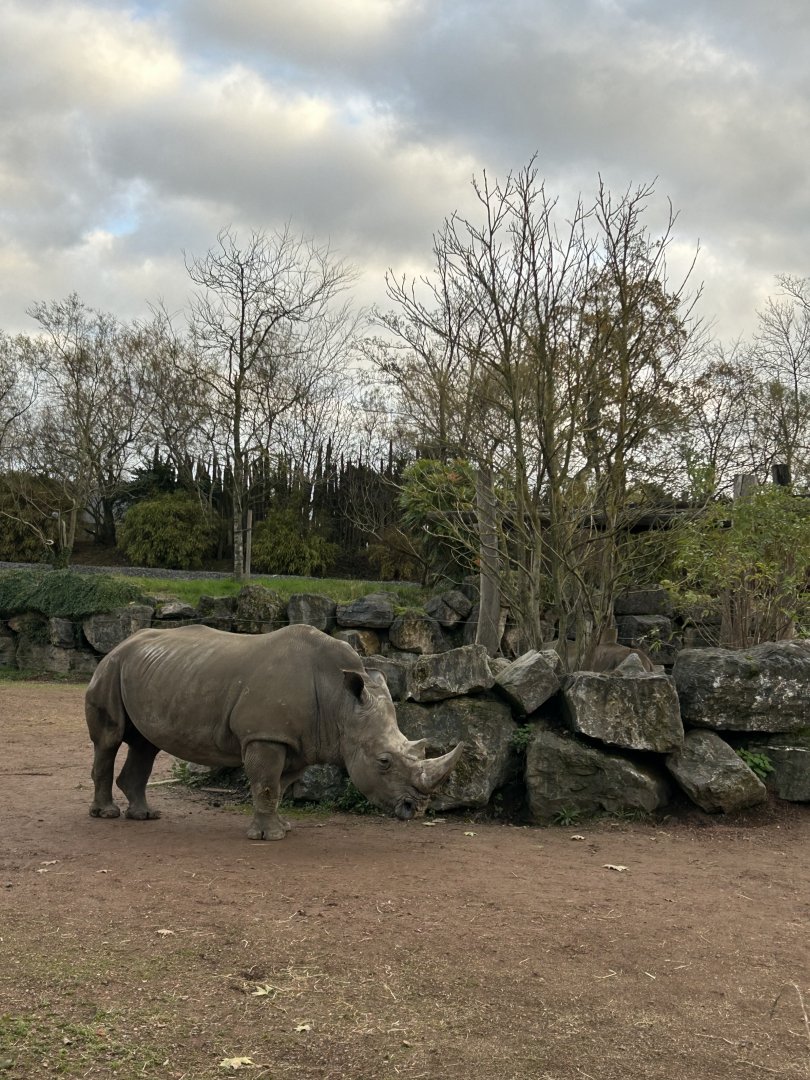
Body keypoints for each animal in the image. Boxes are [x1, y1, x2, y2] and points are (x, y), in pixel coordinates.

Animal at [85, 623, 463, 840]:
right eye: (384, 761)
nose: (417, 810)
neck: (340, 703)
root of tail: (122, 642)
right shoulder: (265, 735)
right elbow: (265, 783)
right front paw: (269, 837)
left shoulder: (298, 741)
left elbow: (278, 786)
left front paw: (283, 828)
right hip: (110, 668)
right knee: (109, 740)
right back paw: (106, 814)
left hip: (149, 672)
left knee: (145, 744)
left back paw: (144, 816)